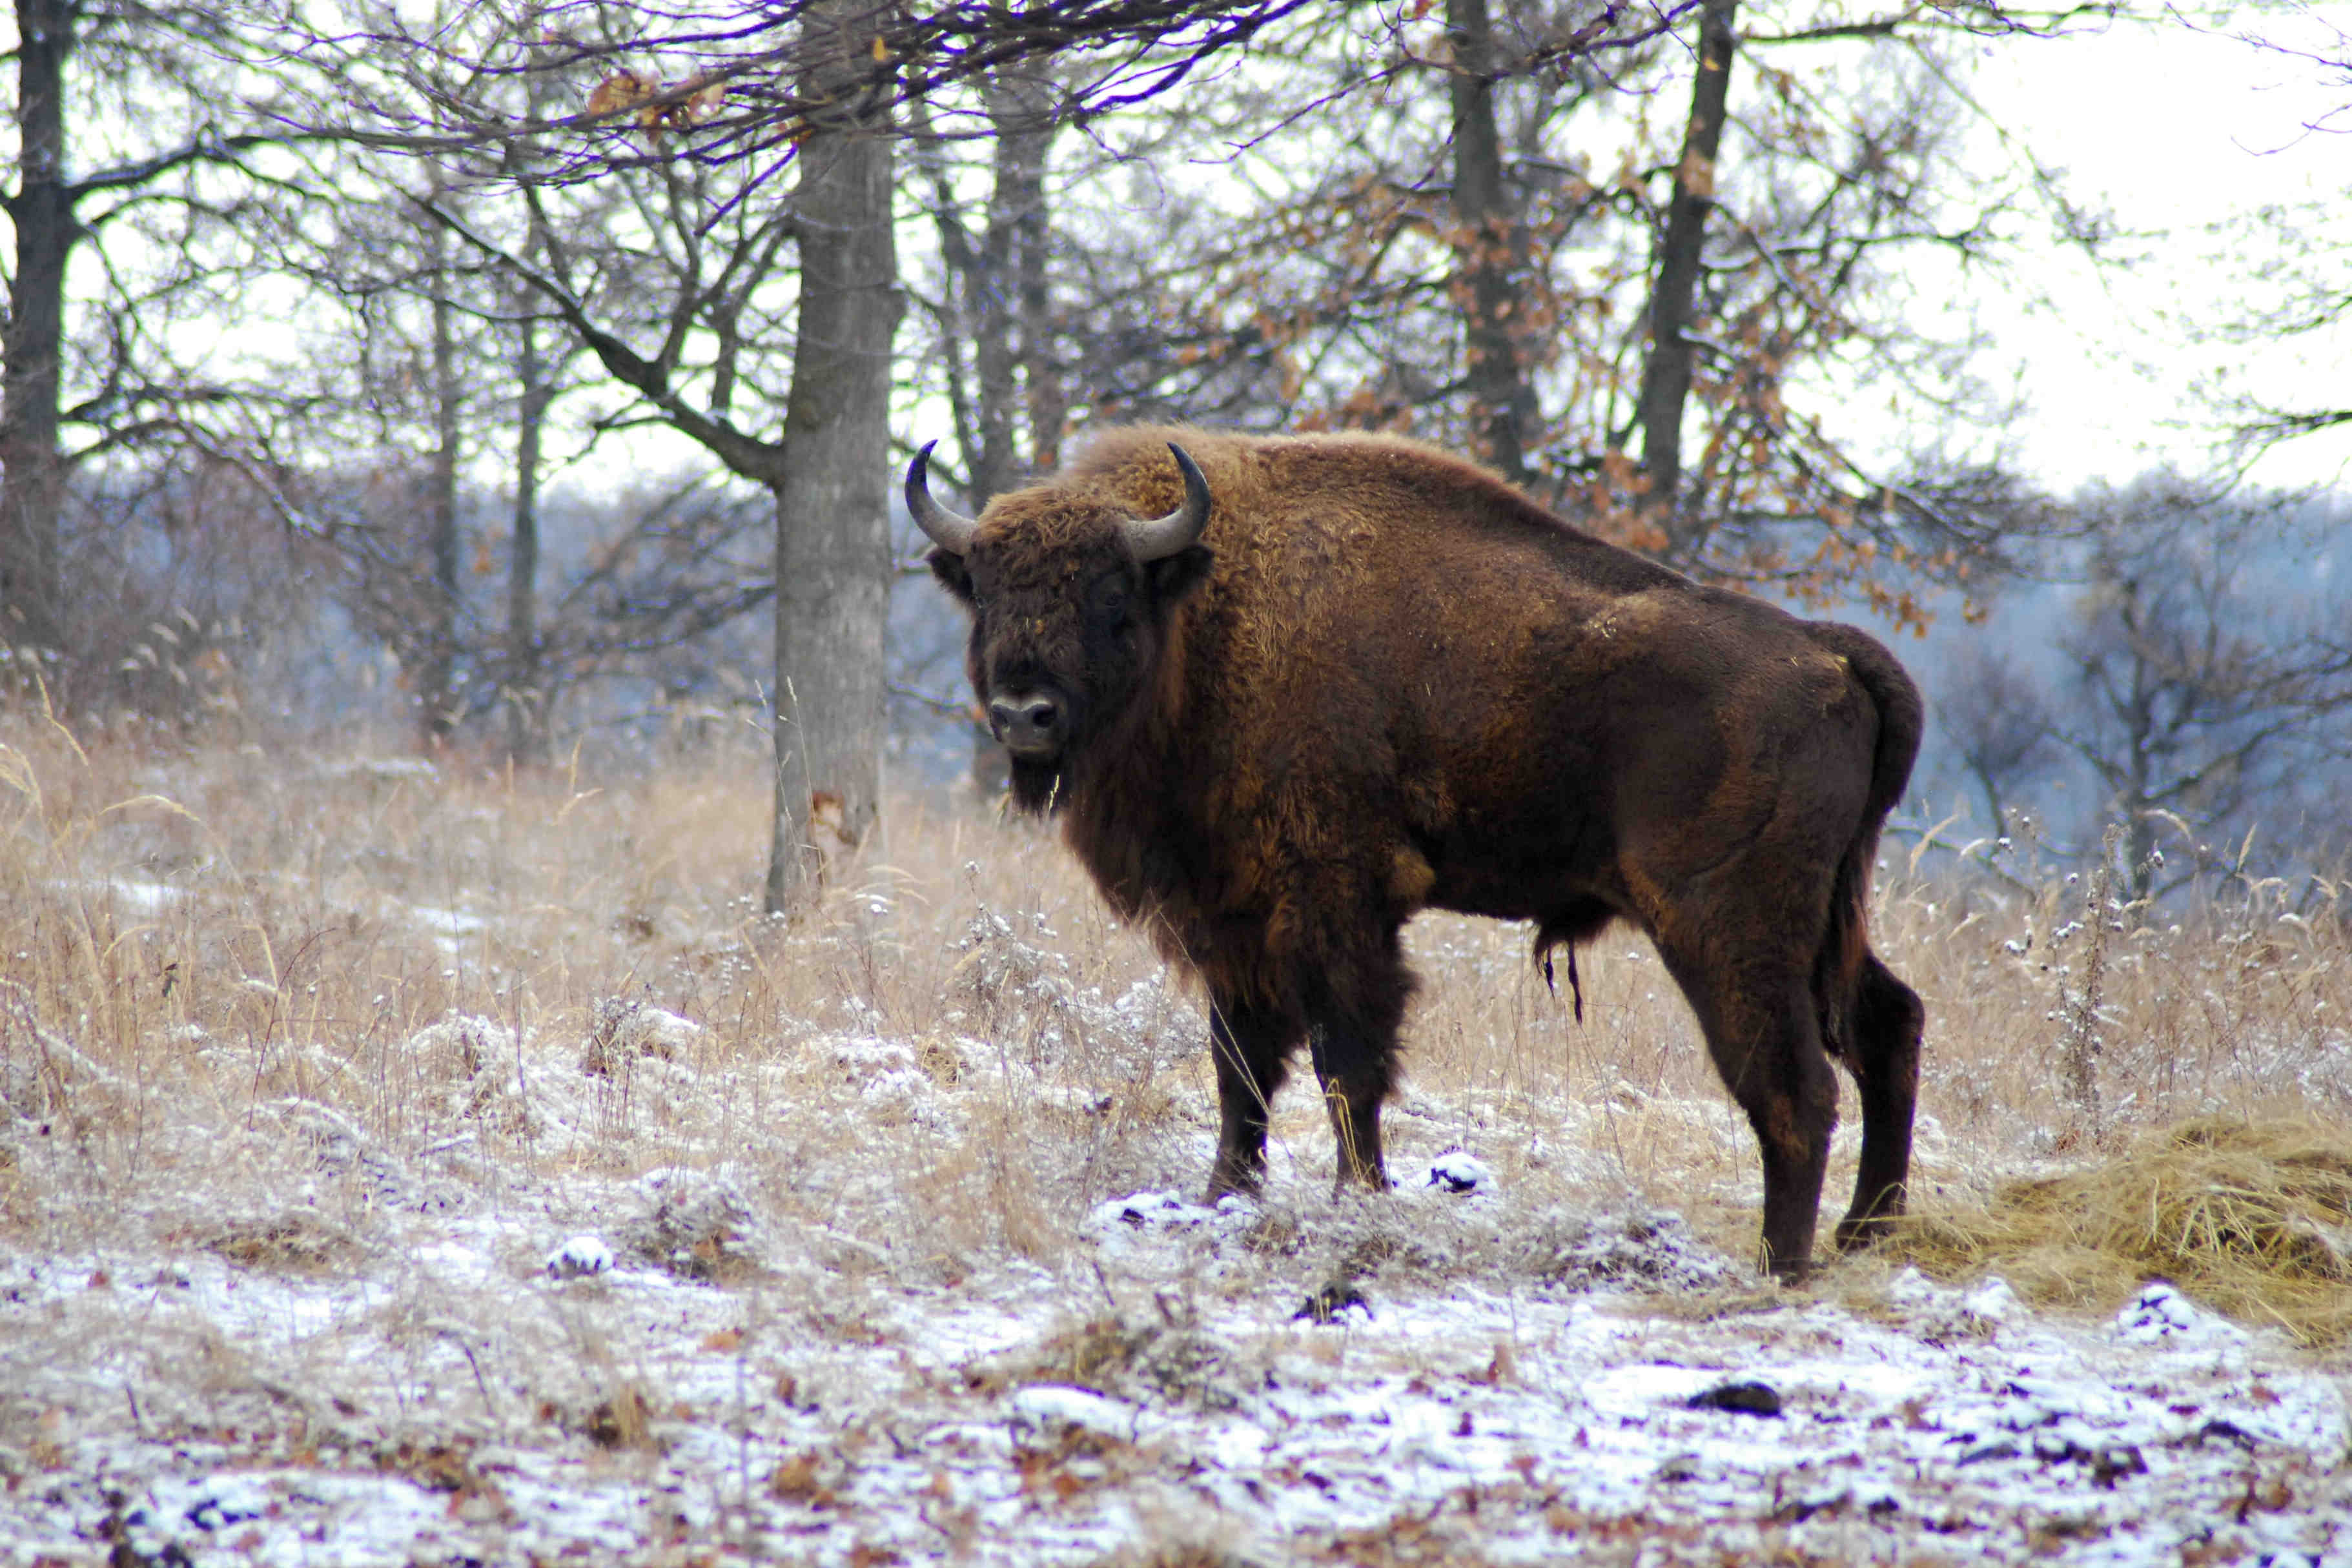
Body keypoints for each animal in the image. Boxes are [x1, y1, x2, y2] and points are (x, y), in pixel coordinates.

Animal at [908, 425, 1919, 1279]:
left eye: (1109, 594)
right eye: (986, 592)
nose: (1024, 715)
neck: (1207, 612)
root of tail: (1827, 655)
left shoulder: (1333, 906)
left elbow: (1346, 1063)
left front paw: (1355, 1198)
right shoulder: (1231, 920)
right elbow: (1240, 1067)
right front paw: (1223, 1196)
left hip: (1729, 928)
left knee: (1795, 1087)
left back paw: (1781, 1262)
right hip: (1826, 923)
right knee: (1888, 1023)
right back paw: (1864, 1232)